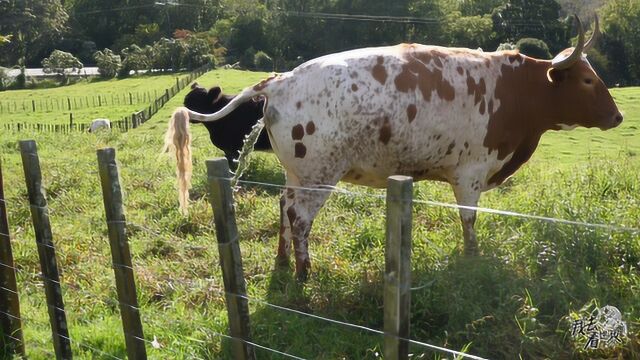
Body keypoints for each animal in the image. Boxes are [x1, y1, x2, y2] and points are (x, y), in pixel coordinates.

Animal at [166, 16, 620, 282]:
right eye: (586, 81)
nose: (617, 117)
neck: (514, 89)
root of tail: (281, 80)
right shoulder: (470, 174)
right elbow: (469, 223)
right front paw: (472, 260)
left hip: (298, 173)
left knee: (283, 206)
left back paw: (281, 262)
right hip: (318, 177)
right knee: (299, 218)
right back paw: (303, 272)